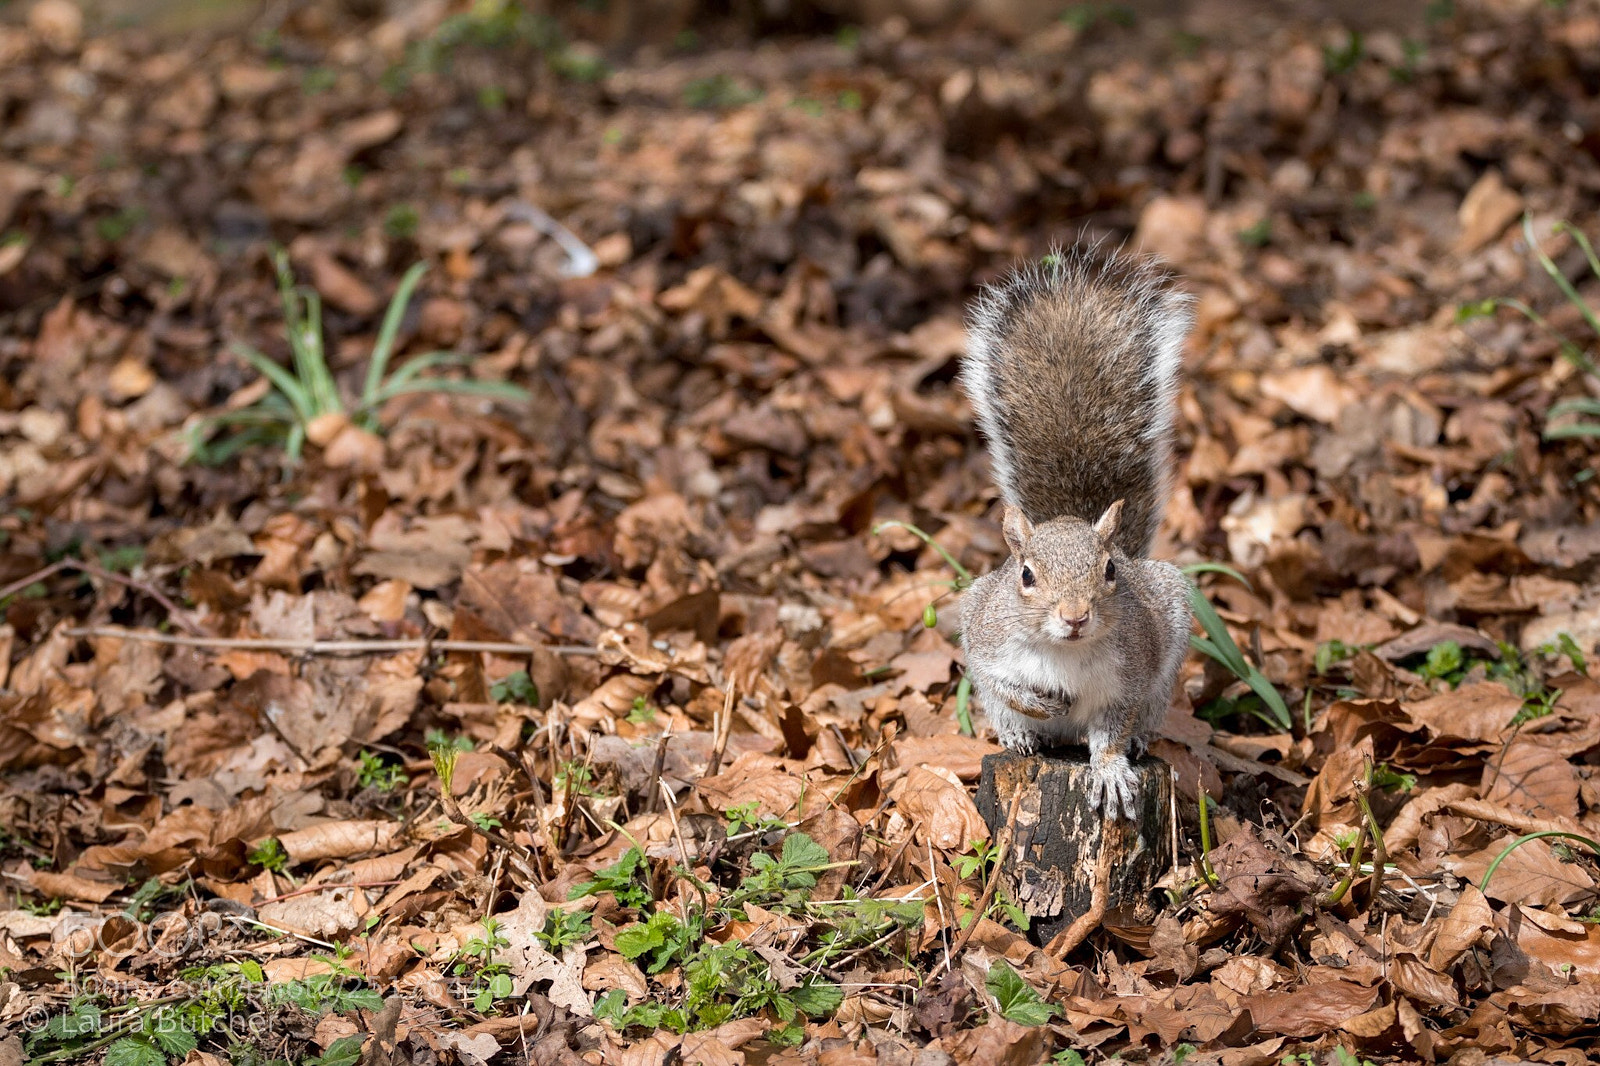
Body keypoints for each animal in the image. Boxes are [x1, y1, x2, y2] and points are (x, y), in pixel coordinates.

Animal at [957, 243, 1193, 820]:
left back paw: (1137, 744)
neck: (1062, 654)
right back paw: (1021, 737)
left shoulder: (1129, 678)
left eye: (1109, 571)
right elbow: (996, 678)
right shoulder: (985, 637)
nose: (1074, 616)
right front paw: (1034, 702)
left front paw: (1109, 770)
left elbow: (1110, 731)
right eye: (1025, 576)